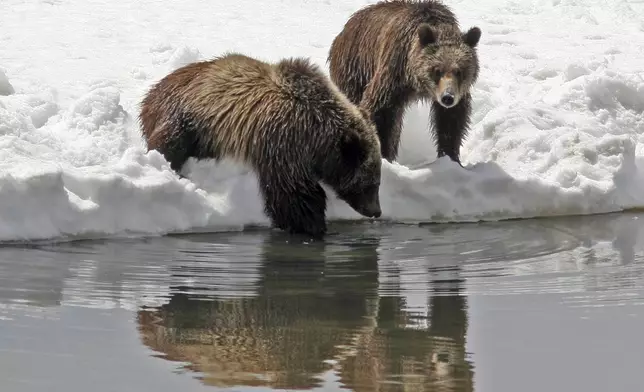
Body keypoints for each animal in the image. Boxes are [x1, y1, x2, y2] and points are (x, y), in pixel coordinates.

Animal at [140, 53, 382, 237]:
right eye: (371, 182)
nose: (376, 211)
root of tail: (151, 92)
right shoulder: (283, 144)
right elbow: (293, 194)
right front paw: (312, 226)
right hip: (187, 115)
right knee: (170, 143)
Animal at [330, 0, 480, 165]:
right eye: (437, 70)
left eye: (459, 71)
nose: (448, 97)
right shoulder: (394, 73)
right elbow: (380, 111)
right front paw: (383, 154)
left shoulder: (457, 94)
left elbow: (451, 121)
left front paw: (451, 158)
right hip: (355, 68)